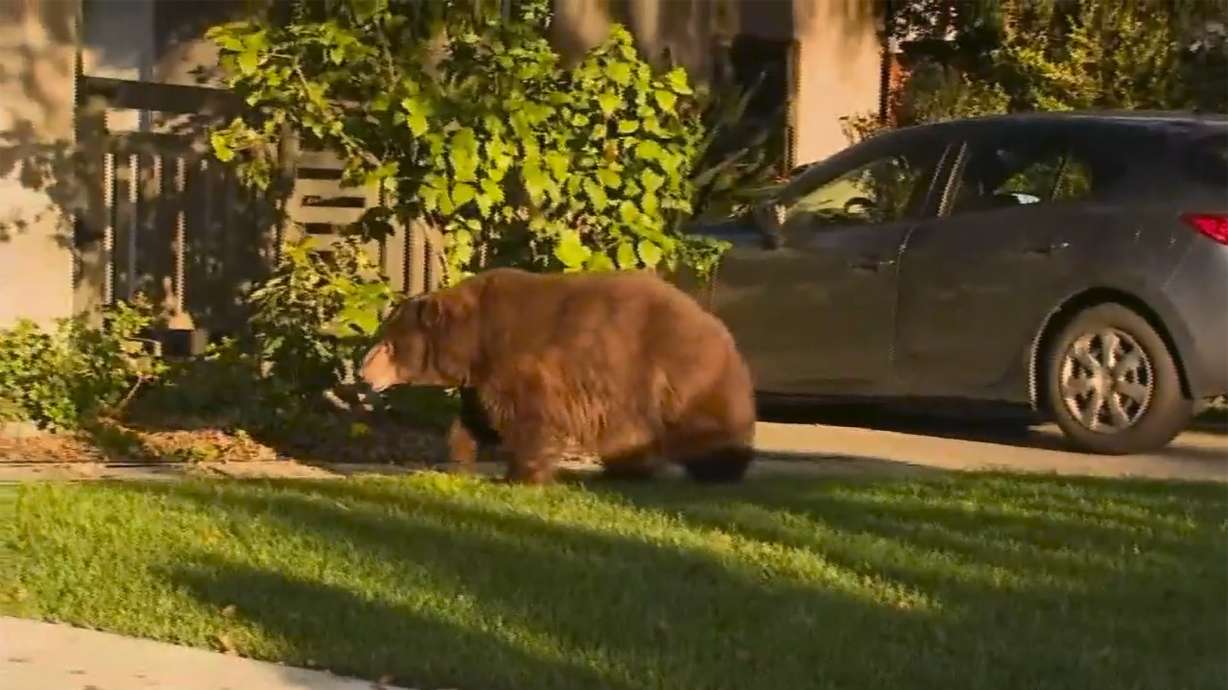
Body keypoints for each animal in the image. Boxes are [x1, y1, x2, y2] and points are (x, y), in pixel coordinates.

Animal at [360, 267, 756, 484]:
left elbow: (527, 417)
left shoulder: (520, 362)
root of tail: (717, 325)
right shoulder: (481, 378)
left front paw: (521, 475)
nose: (364, 372)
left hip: (677, 370)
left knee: (707, 422)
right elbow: (476, 418)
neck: (474, 340)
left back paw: (722, 466)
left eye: (389, 344)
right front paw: (460, 458)